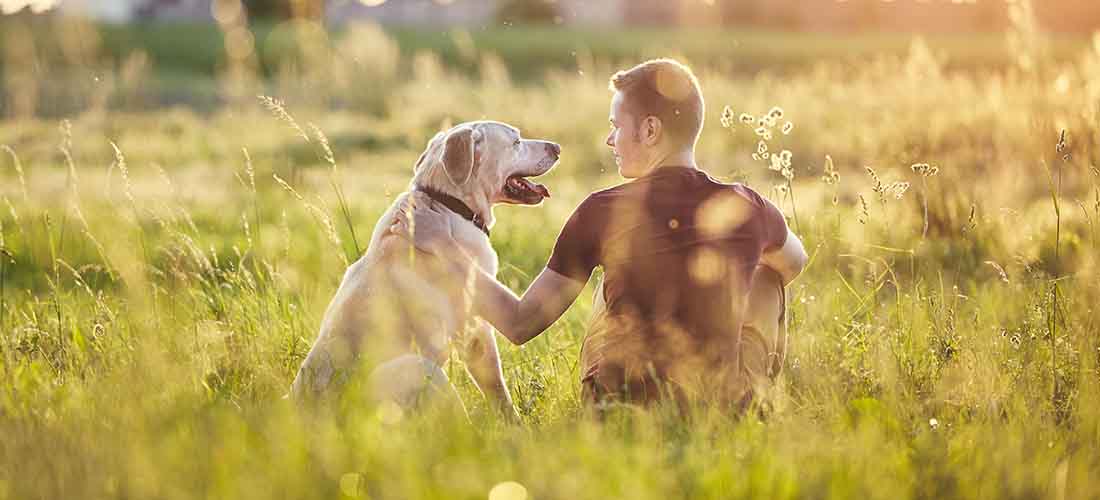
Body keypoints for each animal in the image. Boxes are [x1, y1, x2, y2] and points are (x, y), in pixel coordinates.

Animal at [290, 121, 558, 419]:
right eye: (516, 142)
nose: (557, 148)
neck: (448, 203)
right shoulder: (476, 328)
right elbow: (498, 389)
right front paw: (513, 424)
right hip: (420, 368)